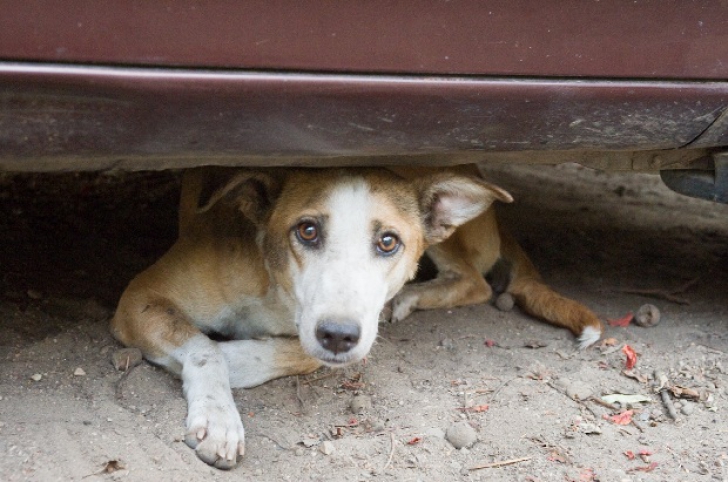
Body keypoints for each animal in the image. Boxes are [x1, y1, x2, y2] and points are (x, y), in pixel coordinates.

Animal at [111, 167, 604, 470]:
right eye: (307, 231)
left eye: (388, 242)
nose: (337, 336)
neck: (276, 290)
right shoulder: (139, 297)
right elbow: (202, 347)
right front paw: (218, 414)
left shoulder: (341, 333)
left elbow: (295, 352)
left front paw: (233, 360)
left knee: (475, 282)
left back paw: (408, 297)